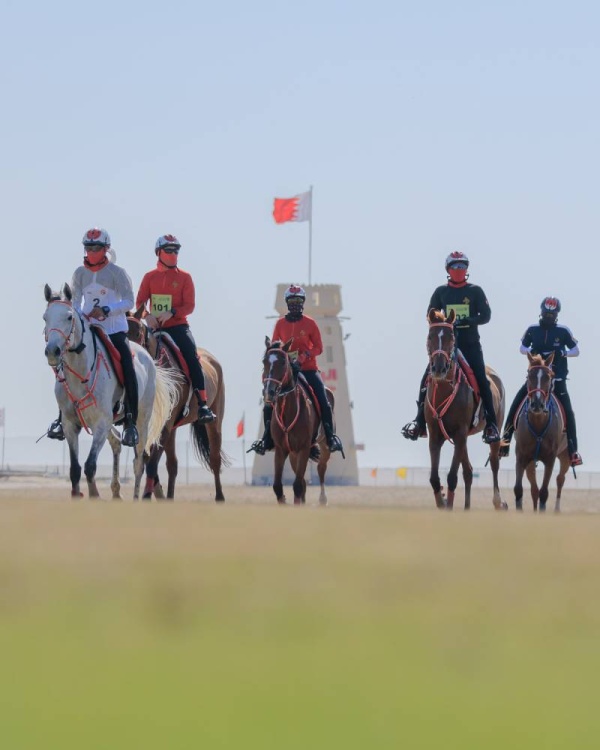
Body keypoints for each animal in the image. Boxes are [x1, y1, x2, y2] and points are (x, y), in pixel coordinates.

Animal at [43, 284, 179, 502]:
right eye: (45, 317)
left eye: (69, 317)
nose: (52, 351)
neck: (81, 373)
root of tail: (147, 357)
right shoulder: (70, 425)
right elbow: (75, 469)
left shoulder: (101, 423)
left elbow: (90, 466)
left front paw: (94, 495)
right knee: (116, 443)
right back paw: (116, 491)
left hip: (141, 421)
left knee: (139, 461)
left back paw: (135, 497)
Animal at [127, 312, 229, 506]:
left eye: (137, 334)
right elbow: (143, 459)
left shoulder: (164, 427)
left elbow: (151, 463)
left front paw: (146, 496)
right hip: (173, 428)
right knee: (172, 464)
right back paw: (169, 497)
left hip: (215, 422)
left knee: (214, 459)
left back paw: (220, 497)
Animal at [262, 340, 336, 506]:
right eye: (264, 361)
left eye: (283, 362)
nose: (269, 392)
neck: (287, 411)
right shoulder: (281, 449)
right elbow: (278, 486)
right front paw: (285, 501)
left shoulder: (303, 448)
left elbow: (296, 485)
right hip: (293, 454)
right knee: (302, 481)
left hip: (323, 446)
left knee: (321, 468)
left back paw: (323, 499)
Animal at [426, 310, 506, 512]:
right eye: (430, 336)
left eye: (451, 337)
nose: (439, 368)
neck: (444, 388)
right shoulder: (435, 435)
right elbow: (434, 478)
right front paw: (442, 501)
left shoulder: (460, 433)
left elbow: (452, 477)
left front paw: (448, 506)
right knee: (468, 471)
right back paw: (467, 507)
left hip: (492, 431)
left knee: (494, 463)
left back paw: (498, 501)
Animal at [510, 352, 572, 512]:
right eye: (529, 375)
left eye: (548, 377)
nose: (537, 404)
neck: (538, 423)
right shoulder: (521, 457)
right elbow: (519, 489)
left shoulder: (550, 459)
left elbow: (544, 492)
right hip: (531, 462)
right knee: (534, 489)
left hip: (565, 456)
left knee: (560, 479)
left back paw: (557, 509)